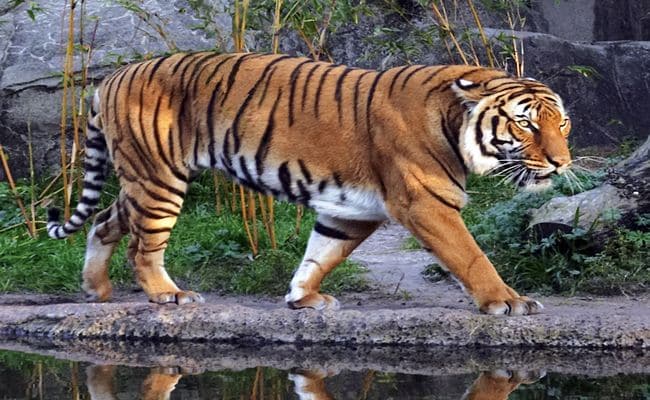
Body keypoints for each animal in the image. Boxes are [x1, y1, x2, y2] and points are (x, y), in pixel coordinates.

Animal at [46, 51, 568, 316]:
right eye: (525, 125)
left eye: (561, 124)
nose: (562, 164)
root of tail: (111, 78)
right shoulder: (425, 203)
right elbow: (471, 255)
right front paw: (508, 301)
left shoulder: (349, 211)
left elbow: (321, 254)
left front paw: (303, 297)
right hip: (158, 178)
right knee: (142, 244)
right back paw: (168, 295)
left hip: (144, 178)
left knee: (104, 222)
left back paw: (96, 290)